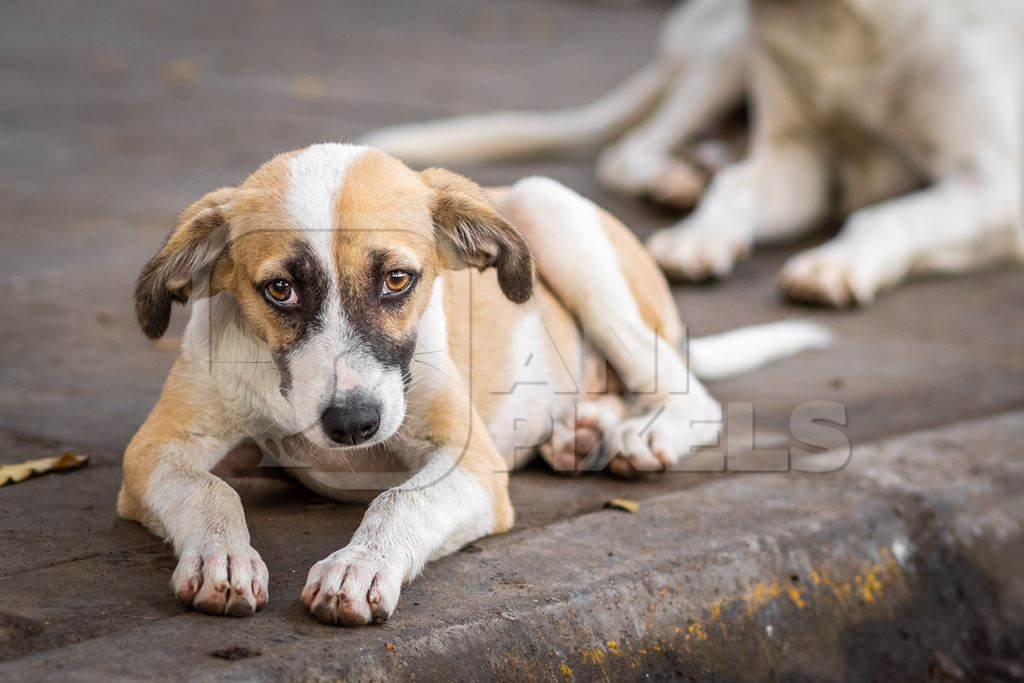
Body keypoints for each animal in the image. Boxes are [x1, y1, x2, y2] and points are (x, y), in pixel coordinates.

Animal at [119, 144, 827, 626]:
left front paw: (358, 567)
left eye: (398, 279)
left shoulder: (472, 464)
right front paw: (222, 557)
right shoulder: (154, 450)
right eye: (280, 290)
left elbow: (399, 501)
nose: (352, 424)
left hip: (552, 211)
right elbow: (211, 490)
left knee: (691, 396)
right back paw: (582, 432)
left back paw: (641, 436)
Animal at [368, 0, 1024, 305]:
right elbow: (740, 188)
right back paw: (679, 178)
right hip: (725, 50)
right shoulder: (797, 154)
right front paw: (700, 238)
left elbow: (892, 214)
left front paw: (838, 262)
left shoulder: (996, 185)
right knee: (633, 148)